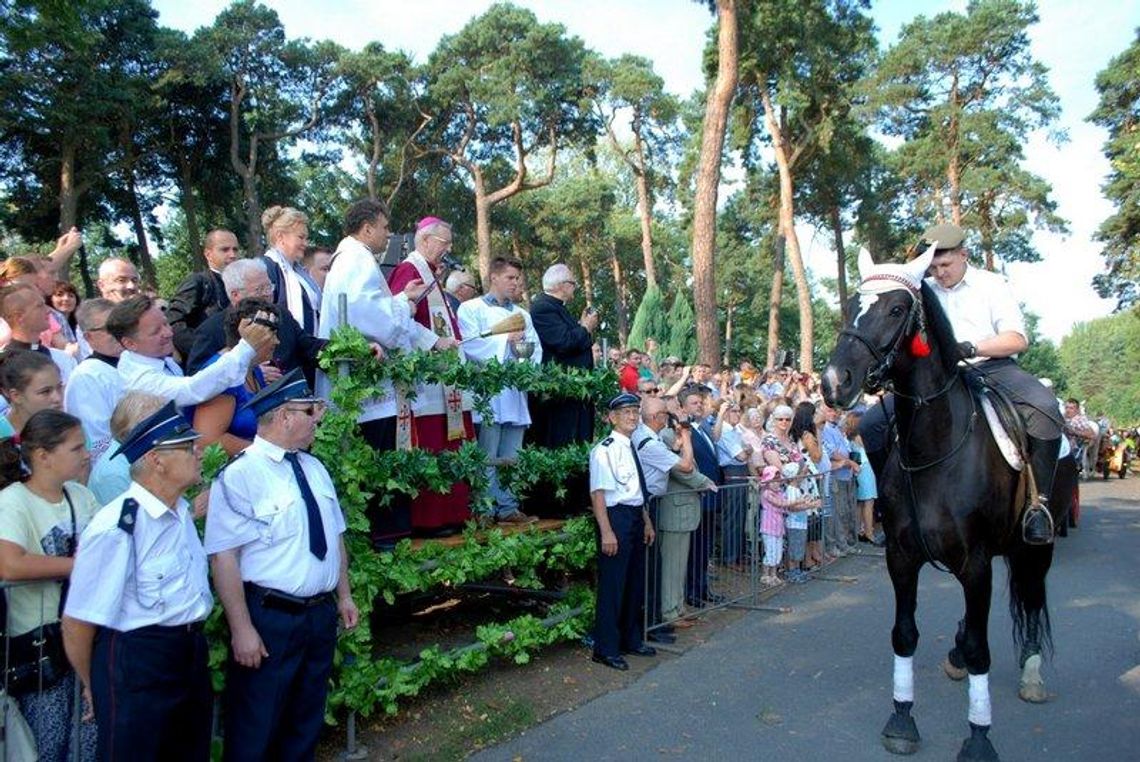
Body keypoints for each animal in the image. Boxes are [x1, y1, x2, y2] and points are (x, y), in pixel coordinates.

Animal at [820, 247, 1048, 757]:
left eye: (896, 309)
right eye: (851, 306)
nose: (833, 382)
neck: (935, 451)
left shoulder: (976, 561)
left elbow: (983, 648)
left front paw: (979, 738)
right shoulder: (902, 555)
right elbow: (905, 635)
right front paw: (902, 718)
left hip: (1034, 544)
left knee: (1032, 597)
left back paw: (1031, 672)